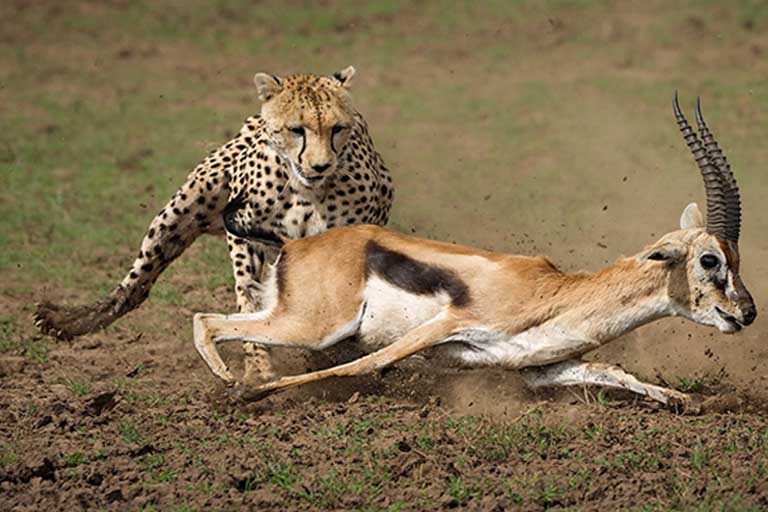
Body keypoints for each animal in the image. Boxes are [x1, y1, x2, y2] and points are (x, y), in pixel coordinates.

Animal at [34, 66, 396, 382]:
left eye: (337, 128)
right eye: (296, 129)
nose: (320, 165)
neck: (304, 189)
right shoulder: (243, 231)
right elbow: (249, 296)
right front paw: (258, 369)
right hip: (180, 212)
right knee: (135, 287)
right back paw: (66, 320)